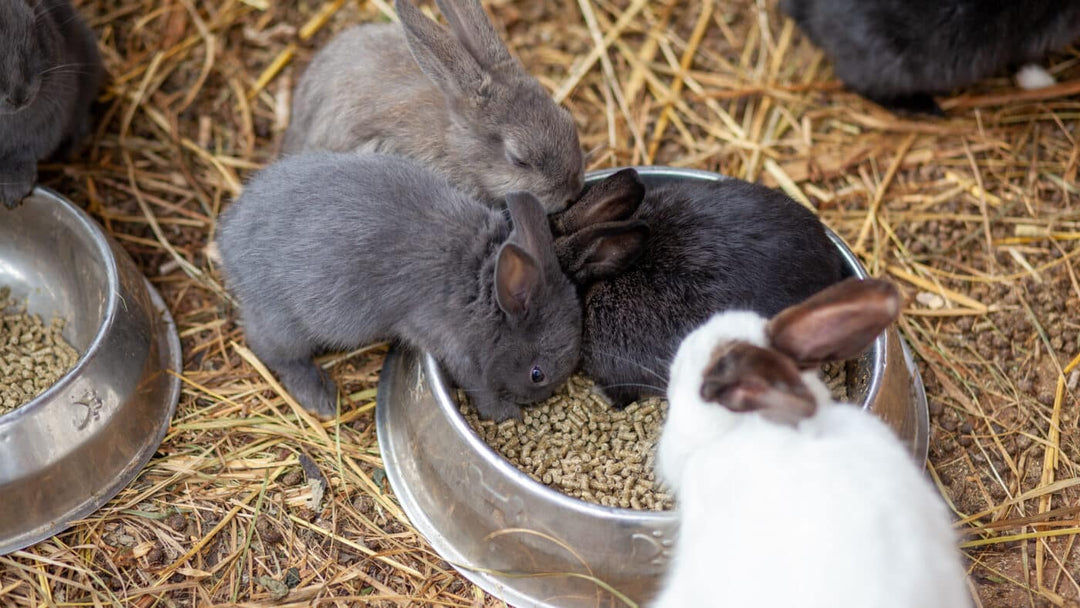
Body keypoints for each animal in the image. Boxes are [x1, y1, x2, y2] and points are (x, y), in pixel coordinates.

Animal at [216, 151, 582, 421]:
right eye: (537, 374)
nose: (537, 400)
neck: (483, 284)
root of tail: (228, 242)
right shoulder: (457, 350)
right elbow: (479, 386)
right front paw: (506, 413)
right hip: (284, 324)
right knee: (273, 352)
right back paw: (320, 398)